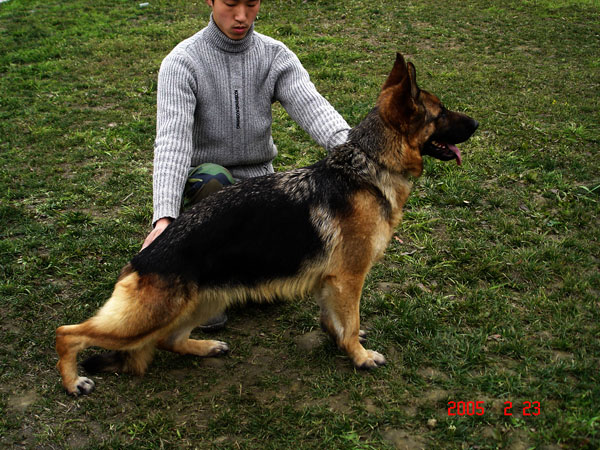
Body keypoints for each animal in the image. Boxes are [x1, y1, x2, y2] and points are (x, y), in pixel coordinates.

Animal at [56, 54, 478, 396]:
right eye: (440, 114)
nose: (476, 122)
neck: (369, 166)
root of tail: (140, 261)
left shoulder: (332, 282)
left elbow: (336, 320)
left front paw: (341, 341)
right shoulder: (349, 277)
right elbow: (350, 319)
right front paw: (358, 356)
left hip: (203, 302)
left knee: (168, 341)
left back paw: (204, 347)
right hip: (148, 316)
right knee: (68, 333)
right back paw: (73, 381)